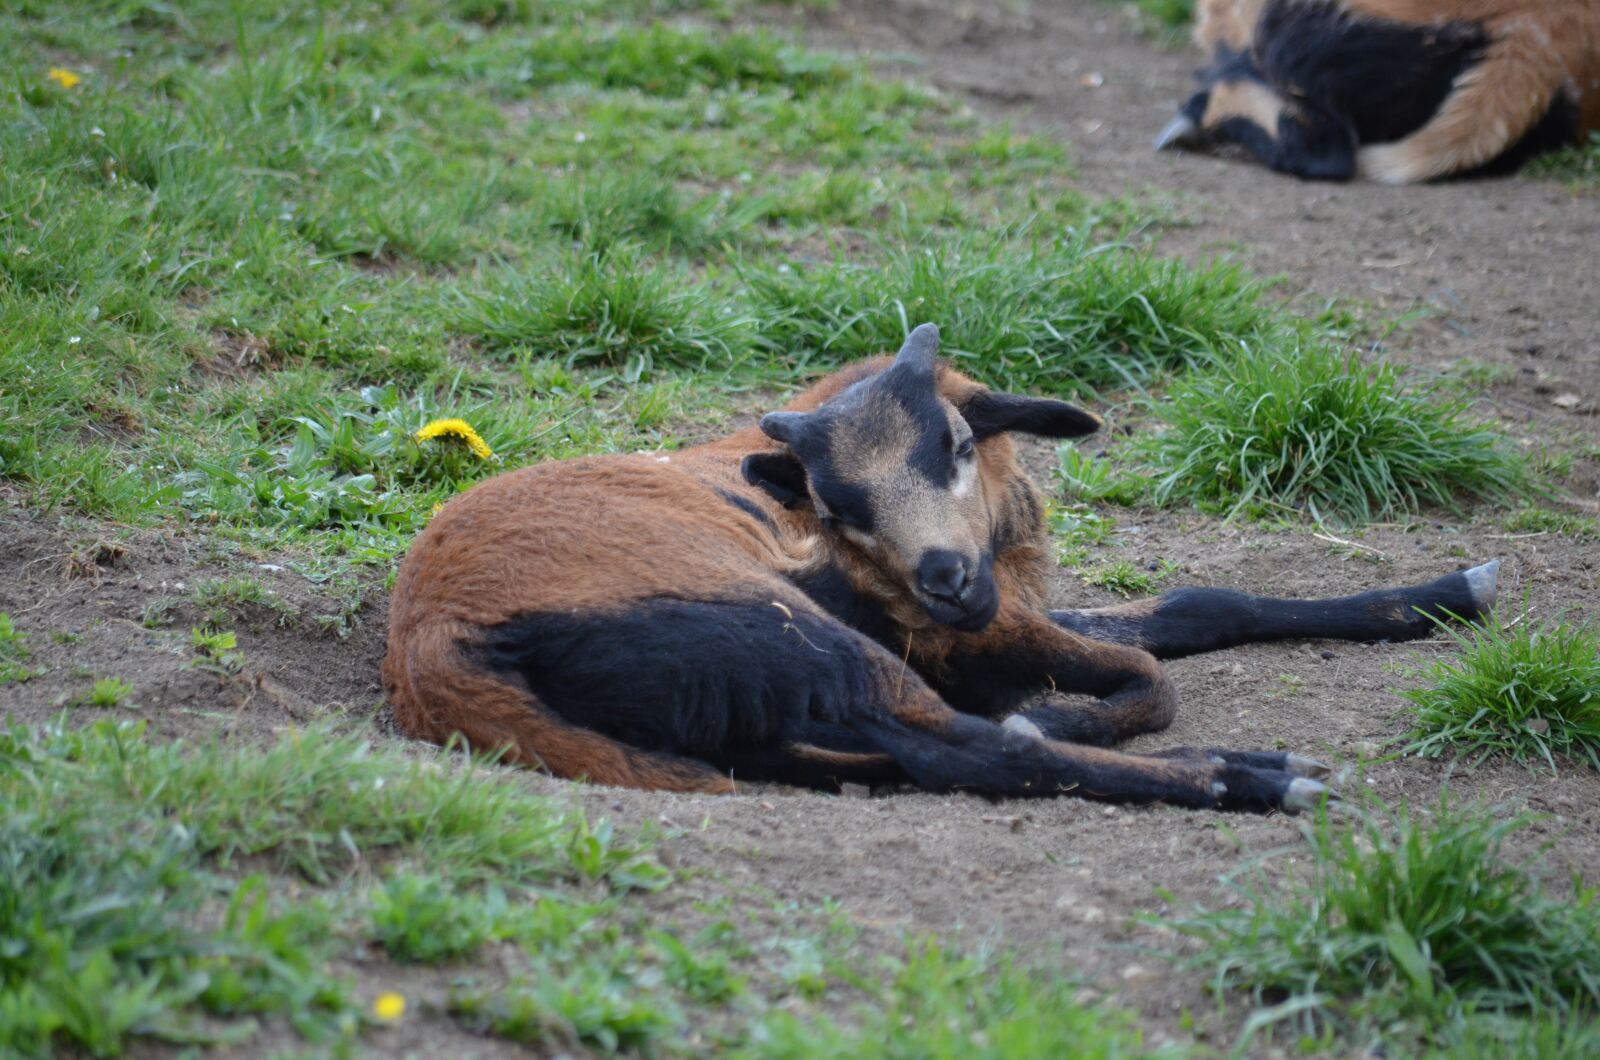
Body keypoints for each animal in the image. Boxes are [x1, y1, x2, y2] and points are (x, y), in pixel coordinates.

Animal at [382, 324, 1499, 811]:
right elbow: (1147, 680)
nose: (943, 581)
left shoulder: (1007, 616)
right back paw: (1250, 778)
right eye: (835, 507)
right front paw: (1062, 717)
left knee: (894, 753)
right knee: (968, 755)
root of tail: (430, 651)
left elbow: (1198, 606)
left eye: (958, 443)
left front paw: (1444, 595)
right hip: (777, 628)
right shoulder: (969, 636)